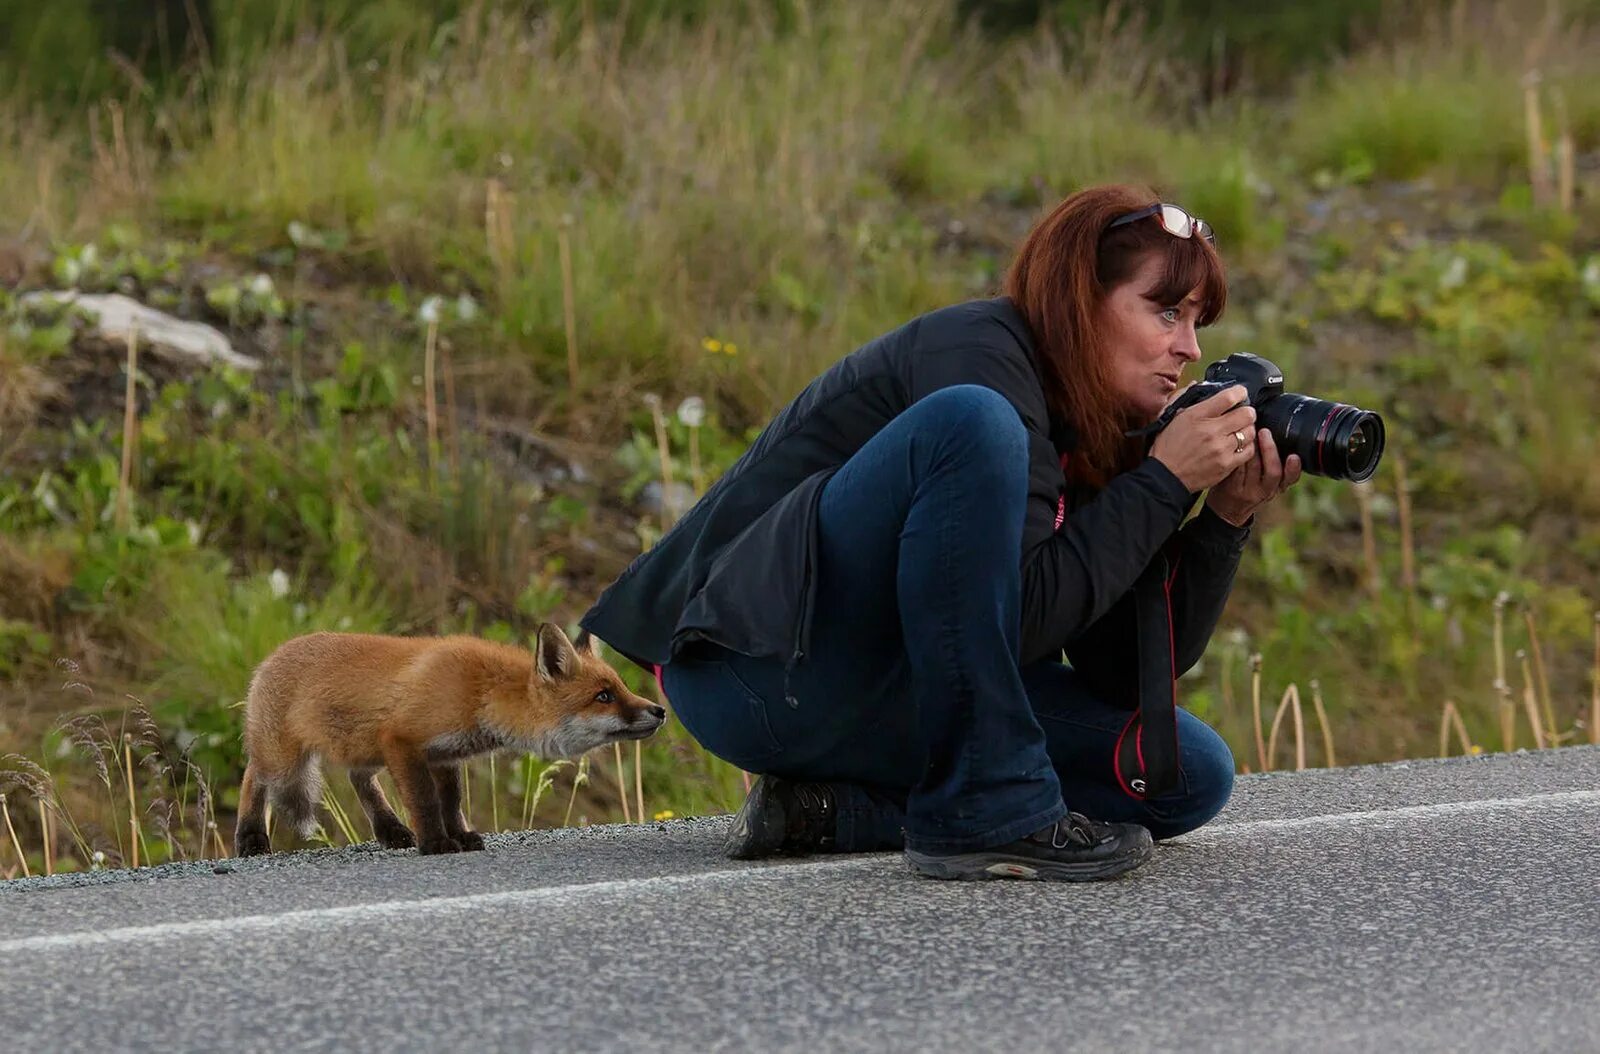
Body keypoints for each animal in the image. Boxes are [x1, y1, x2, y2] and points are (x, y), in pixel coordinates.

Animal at [233, 626, 665, 857]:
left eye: (622, 688)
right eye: (603, 696)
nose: (660, 710)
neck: (479, 693)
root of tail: (272, 654)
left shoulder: (443, 755)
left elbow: (452, 802)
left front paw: (459, 835)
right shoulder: (403, 741)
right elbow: (425, 801)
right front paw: (436, 842)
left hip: (363, 749)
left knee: (361, 781)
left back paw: (391, 831)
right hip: (284, 761)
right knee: (254, 777)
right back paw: (251, 837)